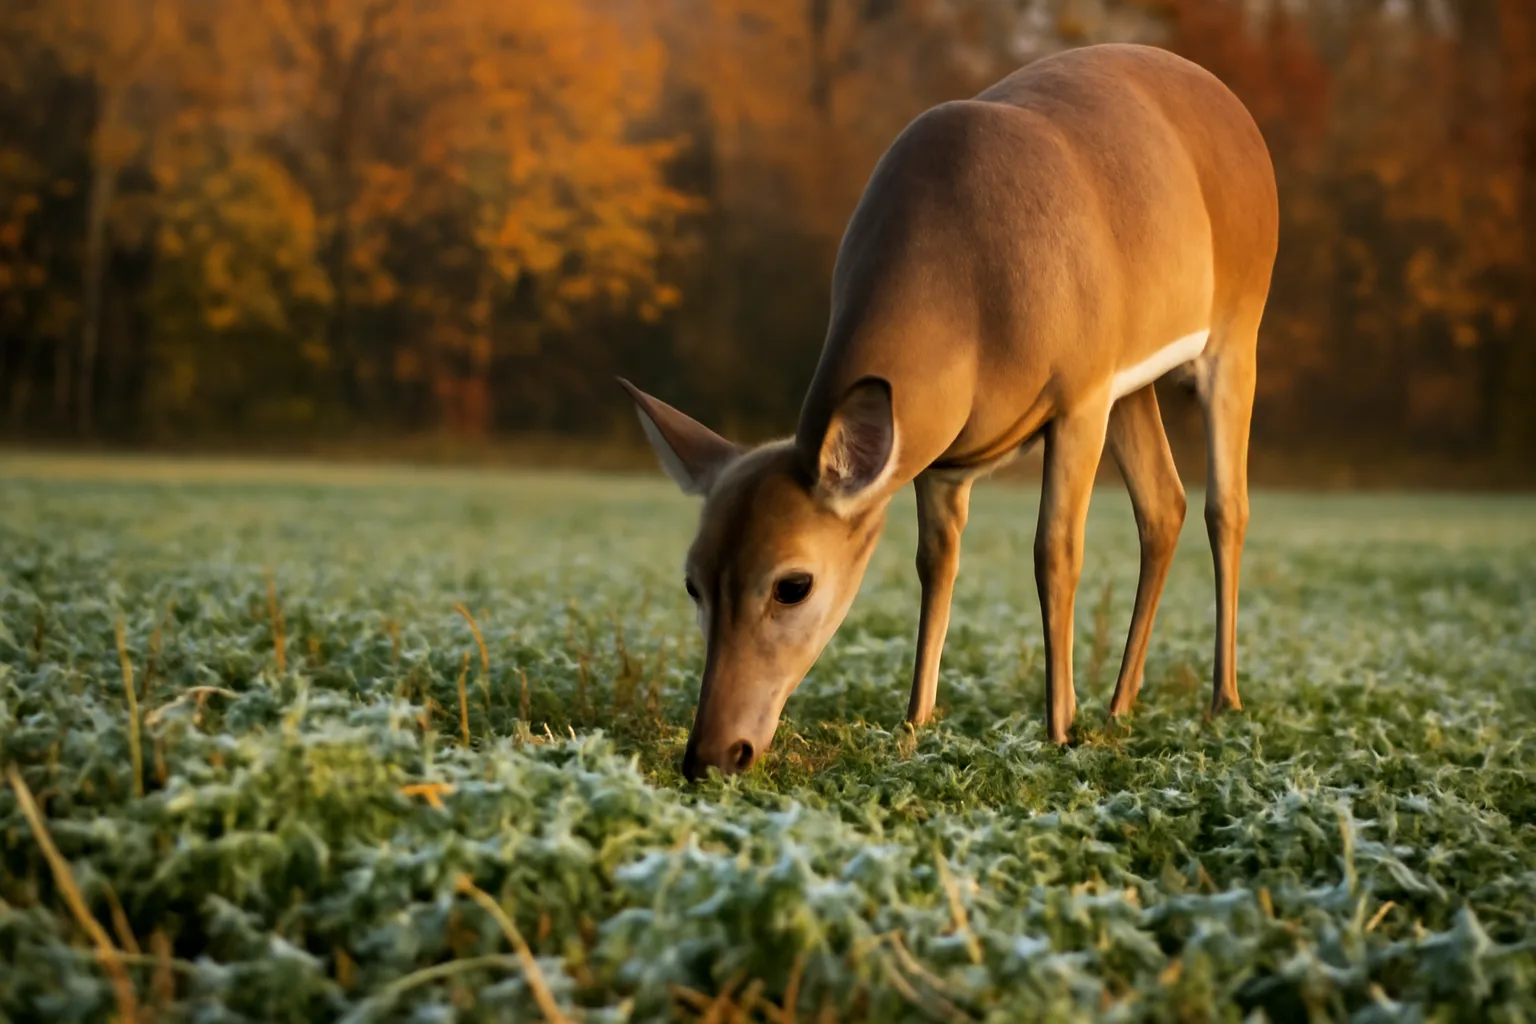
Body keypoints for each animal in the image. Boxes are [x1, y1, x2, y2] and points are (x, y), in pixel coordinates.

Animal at [619, 43, 1278, 782]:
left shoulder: (1079, 394)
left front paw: (1058, 731)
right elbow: (936, 563)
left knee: (1226, 506)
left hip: (1236, 327)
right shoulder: (943, 453)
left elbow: (1055, 550)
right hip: (1131, 384)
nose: (710, 754)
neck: (970, 305)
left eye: (793, 584)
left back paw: (1223, 699)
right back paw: (1121, 704)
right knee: (1163, 505)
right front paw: (916, 723)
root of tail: (1230, 103)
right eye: (692, 582)